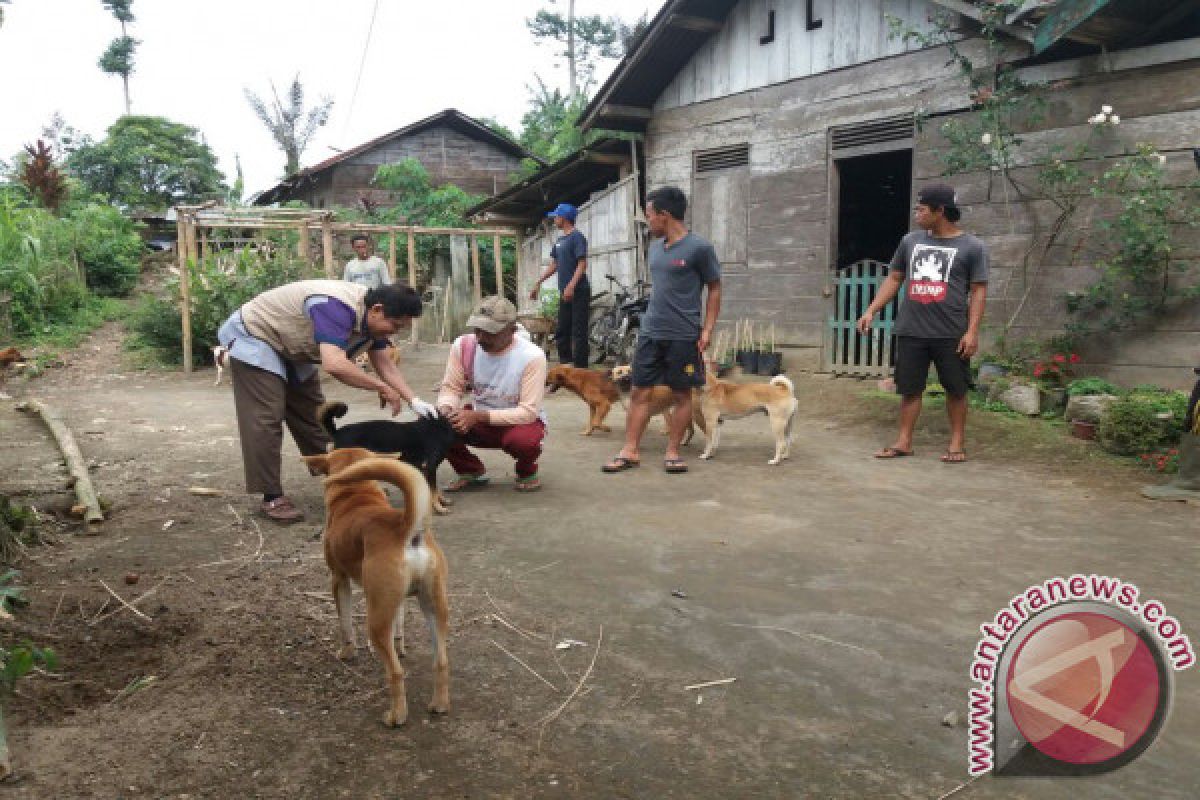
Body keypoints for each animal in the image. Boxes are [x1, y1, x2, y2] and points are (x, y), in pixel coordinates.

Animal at [300, 448, 451, 729]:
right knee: (441, 661)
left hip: (376, 620)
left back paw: (396, 716)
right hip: (434, 608)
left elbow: (345, 624)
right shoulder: (397, 601)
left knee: (395, 672)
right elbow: (399, 627)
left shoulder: (339, 580)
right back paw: (439, 704)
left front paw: (346, 652)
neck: (355, 495)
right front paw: (400, 645)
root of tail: (405, 529)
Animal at [316, 402, 456, 515]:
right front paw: (439, 507)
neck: (438, 426)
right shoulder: (429, 467)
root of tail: (337, 432)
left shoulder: (426, 470)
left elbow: (434, 489)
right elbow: (433, 490)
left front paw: (442, 501)